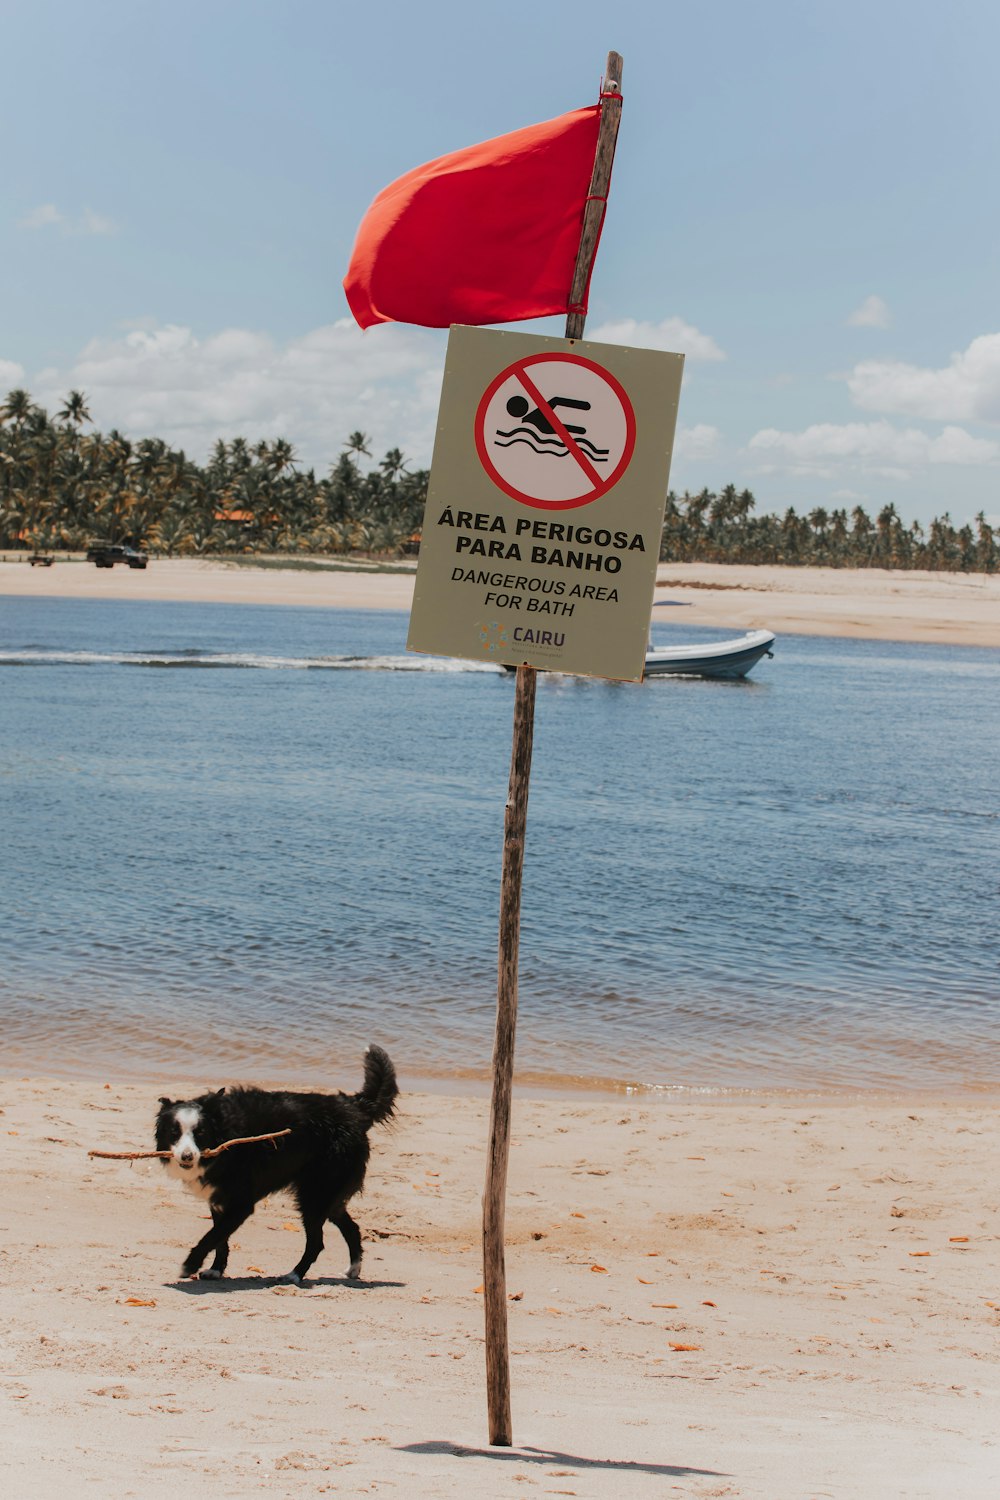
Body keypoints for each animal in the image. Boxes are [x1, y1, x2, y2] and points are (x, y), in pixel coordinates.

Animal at [154, 1050, 395, 1284]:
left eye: (200, 1133)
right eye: (174, 1132)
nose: (187, 1156)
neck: (225, 1130)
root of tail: (355, 1108)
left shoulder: (241, 1204)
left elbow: (212, 1235)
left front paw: (190, 1265)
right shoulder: (218, 1200)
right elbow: (220, 1239)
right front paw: (215, 1270)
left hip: (315, 1194)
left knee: (316, 1243)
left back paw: (294, 1275)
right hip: (326, 1196)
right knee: (352, 1229)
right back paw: (352, 1270)